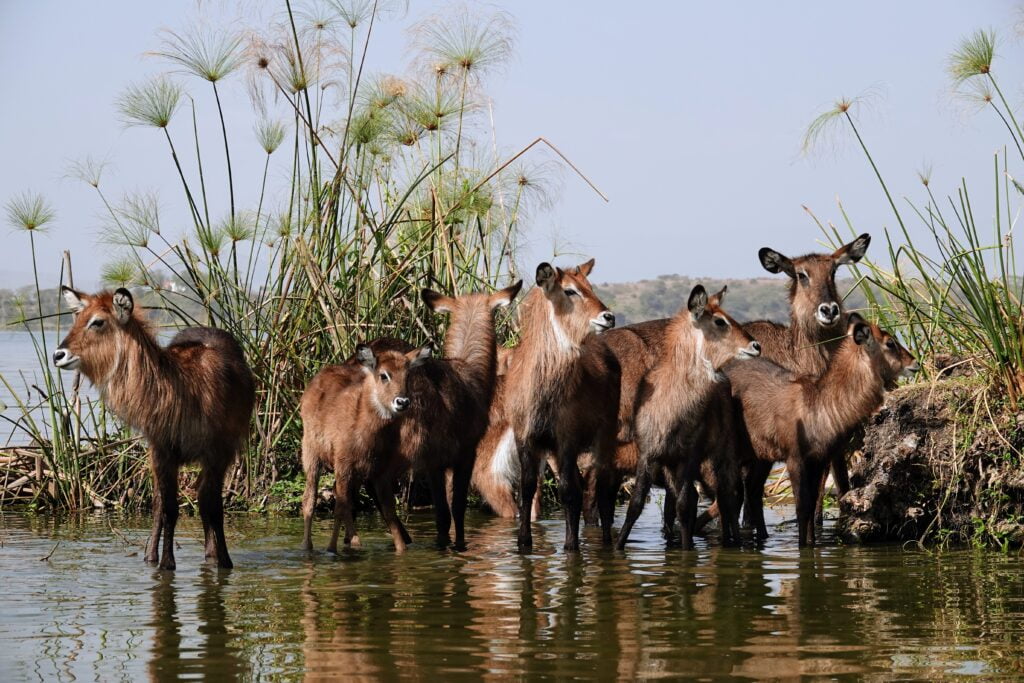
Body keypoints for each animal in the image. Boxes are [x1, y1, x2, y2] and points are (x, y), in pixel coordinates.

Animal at [54, 288, 258, 573]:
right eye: (77, 318)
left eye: (97, 321)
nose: (58, 355)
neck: (181, 389)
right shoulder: (163, 450)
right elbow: (168, 508)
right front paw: (166, 563)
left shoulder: (218, 453)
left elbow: (213, 507)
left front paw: (224, 562)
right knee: (161, 503)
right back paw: (151, 556)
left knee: (203, 499)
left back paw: (210, 553)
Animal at [301, 344, 434, 552]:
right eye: (384, 375)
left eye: (407, 375)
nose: (402, 402)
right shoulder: (343, 464)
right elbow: (339, 507)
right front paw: (331, 549)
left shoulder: (380, 472)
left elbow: (389, 512)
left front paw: (401, 550)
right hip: (311, 453)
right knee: (310, 499)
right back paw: (308, 545)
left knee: (347, 499)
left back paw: (353, 540)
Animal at [610, 286, 757, 548]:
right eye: (720, 321)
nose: (756, 345)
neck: (672, 408)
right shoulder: (648, 456)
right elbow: (635, 505)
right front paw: (617, 547)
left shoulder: (689, 458)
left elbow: (685, 505)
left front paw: (686, 551)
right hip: (673, 465)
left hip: (720, 454)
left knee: (728, 495)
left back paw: (734, 542)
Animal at [724, 313, 917, 544]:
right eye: (890, 343)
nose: (914, 362)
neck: (819, 404)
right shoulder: (796, 459)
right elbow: (802, 507)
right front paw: (802, 546)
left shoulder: (819, 459)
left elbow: (812, 504)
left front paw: (811, 543)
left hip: (762, 456)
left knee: (753, 492)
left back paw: (762, 538)